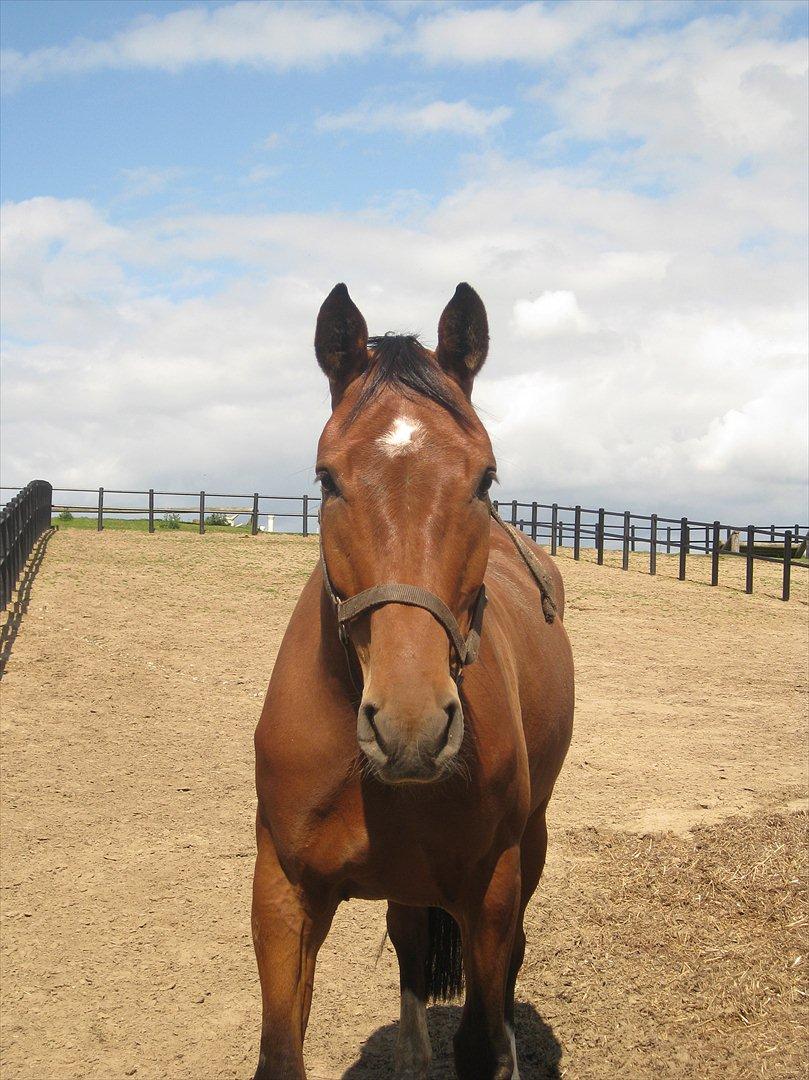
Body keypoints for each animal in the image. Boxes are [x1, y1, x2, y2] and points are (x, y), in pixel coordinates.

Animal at [252, 282, 574, 1075]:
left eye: (484, 477)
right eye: (326, 478)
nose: (411, 726)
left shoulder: (489, 891)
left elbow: (481, 1041)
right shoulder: (282, 893)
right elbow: (281, 1051)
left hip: (531, 844)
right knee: (407, 936)